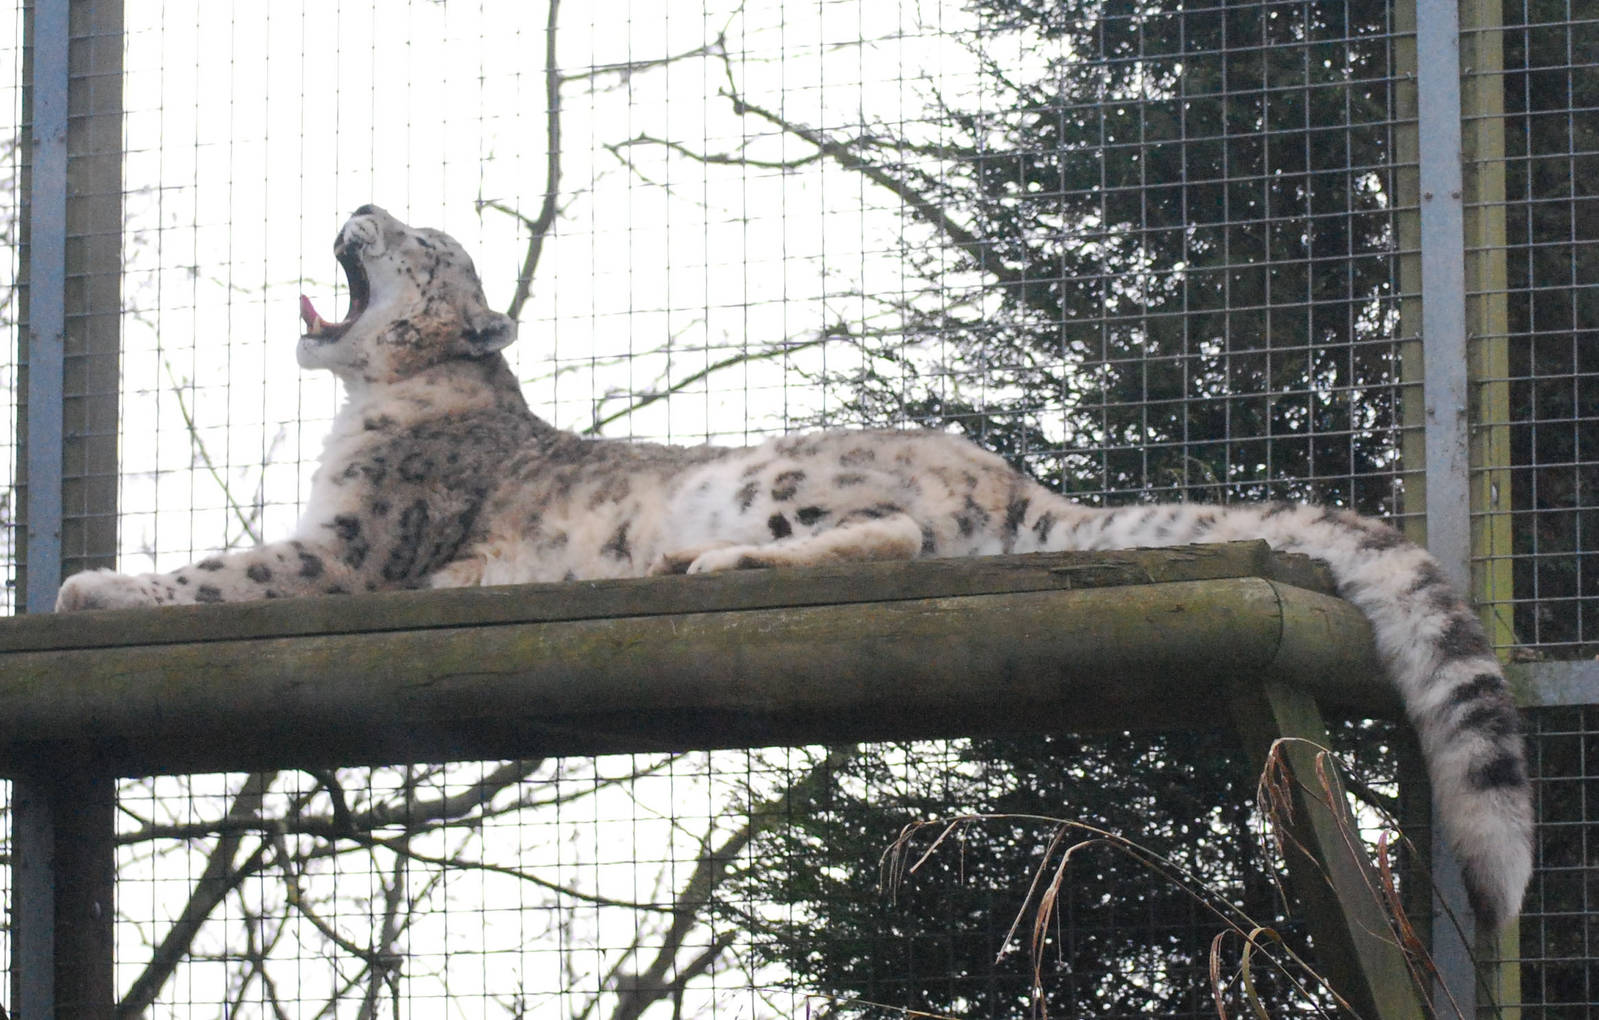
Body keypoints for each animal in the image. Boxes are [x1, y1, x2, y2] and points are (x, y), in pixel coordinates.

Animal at [56, 204, 1532, 929]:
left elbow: (227, 573)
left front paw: (86, 587)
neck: (366, 400)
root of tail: (1009, 474)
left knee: (886, 537)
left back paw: (699, 564)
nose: (363, 198)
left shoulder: (353, 545)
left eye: (418, 244)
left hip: (786, 478)